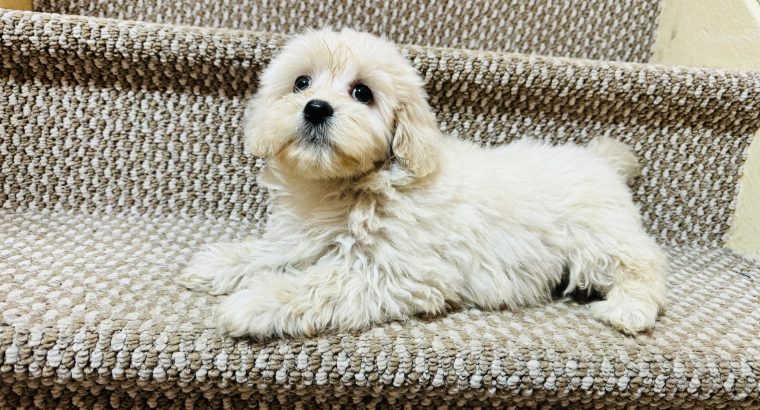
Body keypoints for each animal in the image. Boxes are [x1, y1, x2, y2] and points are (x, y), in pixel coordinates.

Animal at [178, 27, 664, 338]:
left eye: (362, 93)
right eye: (301, 82)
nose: (316, 107)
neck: (353, 184)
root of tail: (598, 158)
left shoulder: (396, 270)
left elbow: (320, 283)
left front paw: (254, 303)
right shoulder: (305, 234)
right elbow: (273, 249)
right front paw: (220, 264)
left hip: (600, 240)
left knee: (644, 266)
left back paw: (629, 309)